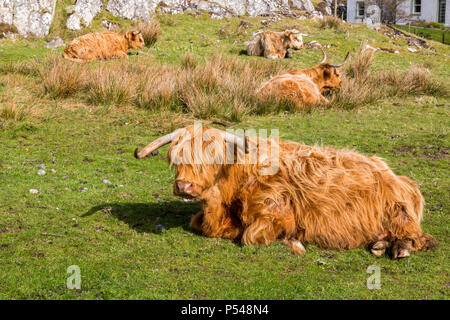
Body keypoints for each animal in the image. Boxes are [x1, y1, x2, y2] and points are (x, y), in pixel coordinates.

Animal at [134, 125, 436, 260]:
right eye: (176, 156)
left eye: (213, 156)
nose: (183, 186)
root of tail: (395, 174)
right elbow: (195, 222)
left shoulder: (278, 211)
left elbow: (250, 237)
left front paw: (294, 242)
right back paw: (379, 244)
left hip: (398, 213)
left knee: (420, 238)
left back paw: (398, 248)